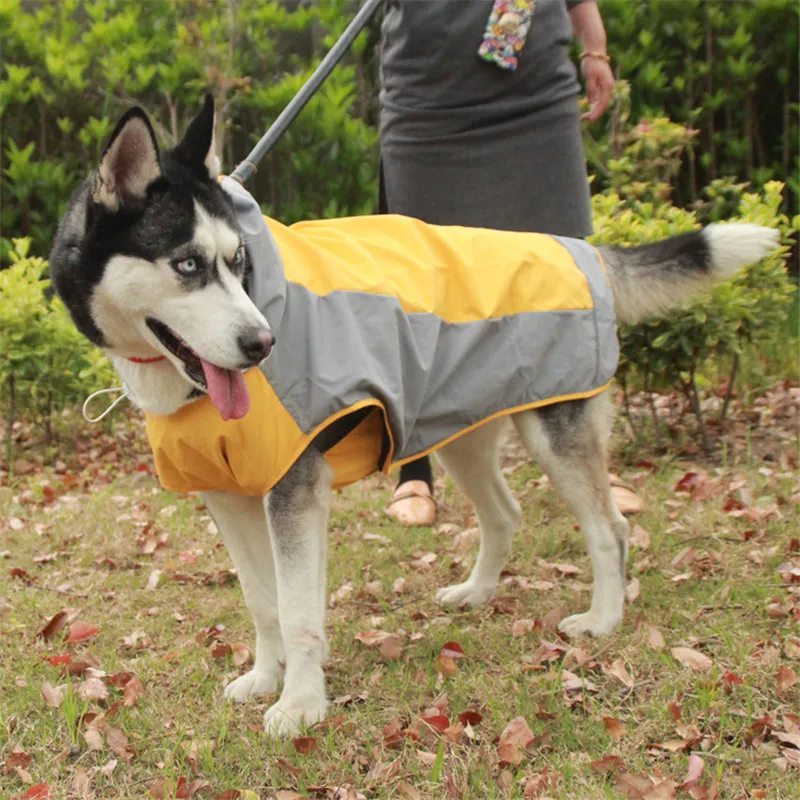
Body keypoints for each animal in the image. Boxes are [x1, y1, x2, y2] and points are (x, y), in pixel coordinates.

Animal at [48, 97, 776, 736]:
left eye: (239, 262)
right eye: (188, 264)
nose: (263, 345)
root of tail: (582, 249)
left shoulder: (295, 491)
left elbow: (297, 610)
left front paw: (300, 705)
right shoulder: (230, 498)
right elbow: (265, 600)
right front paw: (266, 678)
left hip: (553, 433)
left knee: (611, 529)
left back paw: (601, 619)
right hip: (456, 432)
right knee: (505, 514)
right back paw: (477, 593)